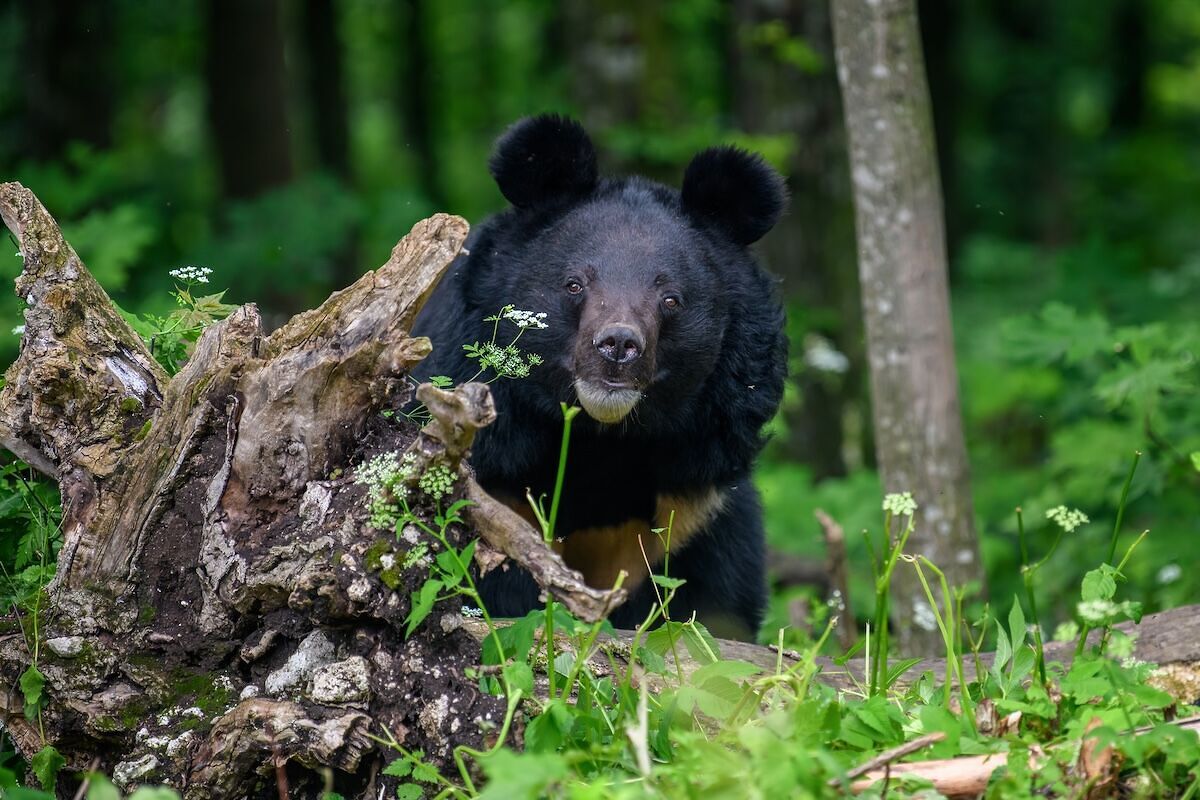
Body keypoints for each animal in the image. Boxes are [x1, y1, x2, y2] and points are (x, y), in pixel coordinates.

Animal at [411, 114, 787, 640]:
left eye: (670, 299)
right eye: (574, 284)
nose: (618, 345)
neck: (602, 441)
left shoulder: (697, 511)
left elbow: (713, 602)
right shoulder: (495, 484)